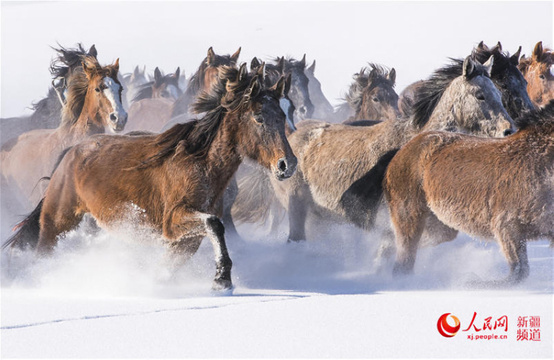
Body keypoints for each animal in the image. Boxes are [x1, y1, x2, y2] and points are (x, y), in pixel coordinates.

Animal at [382, 100, 552, 286]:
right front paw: (472, 282)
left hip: (440, 226)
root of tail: (400, 152)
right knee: (403, 259)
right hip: (409, 215)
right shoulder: (507, 226)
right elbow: (518, 272)